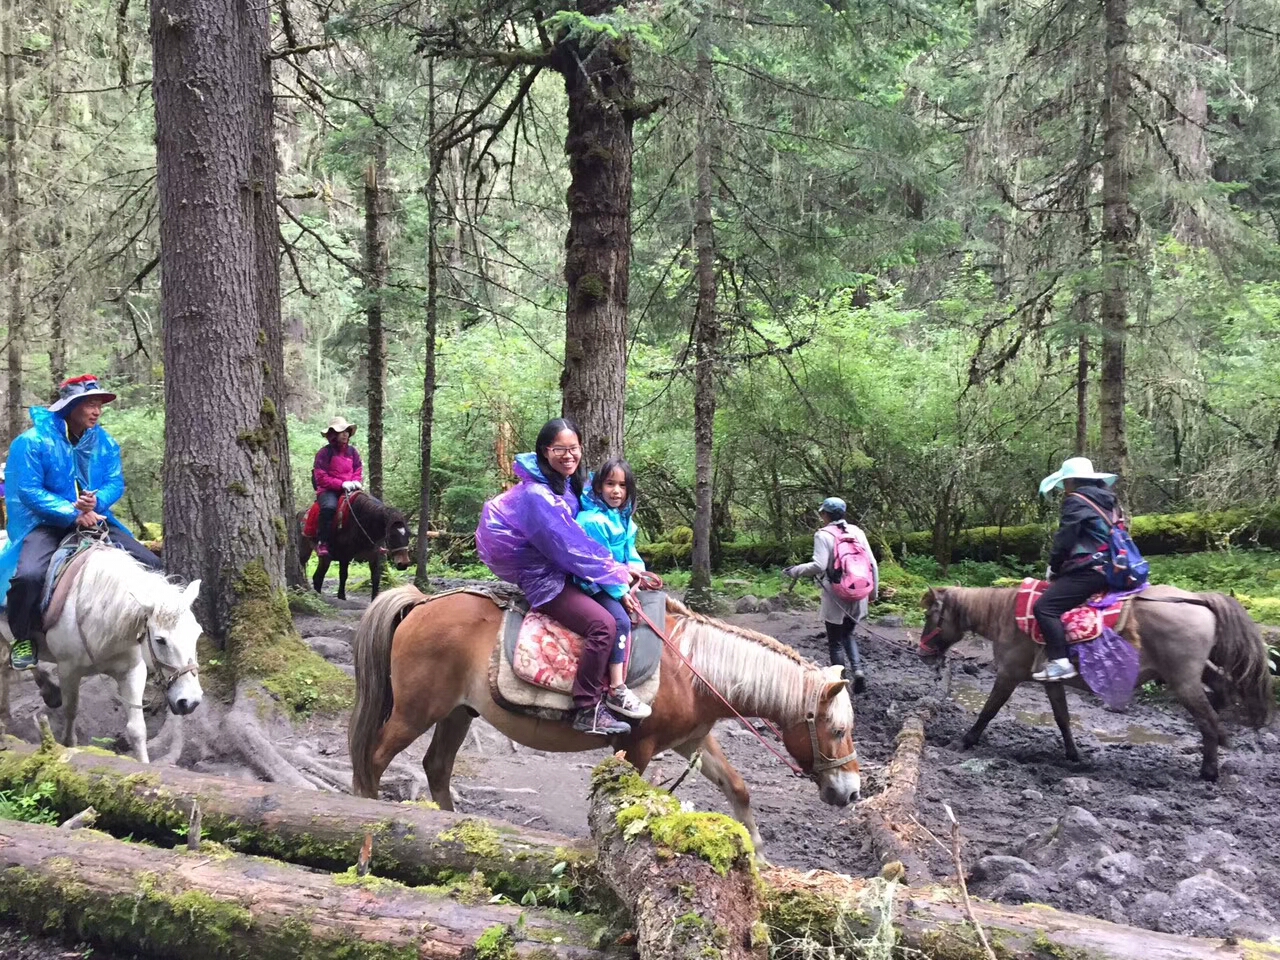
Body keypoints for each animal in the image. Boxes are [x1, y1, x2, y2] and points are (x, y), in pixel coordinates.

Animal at [0, 545, 202, 762]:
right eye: (160, 640)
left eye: (197, 633)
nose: (190, 701)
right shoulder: (68, 670)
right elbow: (71, 710)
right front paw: (68, 743)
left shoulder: (133, 671)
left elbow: (137, 729)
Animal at [348, 586, 860, 849]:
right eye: (837, 730)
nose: (852, 793)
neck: (694, 670)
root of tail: (419, 602)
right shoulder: (636, 747)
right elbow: (621, 804)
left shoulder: (693, 741)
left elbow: (738, 787)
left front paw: (756, 847)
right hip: (416, 711)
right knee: (373, 759)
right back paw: (366, 814)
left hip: (458, 712)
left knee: (436, 766)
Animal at [921, 586, 1269, 783]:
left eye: (930, 615)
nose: (923, 652)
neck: (1007, 615)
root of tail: (1197, 600)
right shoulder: (1050, 682)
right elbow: (1062, 718)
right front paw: (1074, 756)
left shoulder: (1009, 674)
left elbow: (989, 710)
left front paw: (964, 741)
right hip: (1194, 674)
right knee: (1221, 691)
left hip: (1182, 681)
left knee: (1208, 720)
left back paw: (1208, 771)